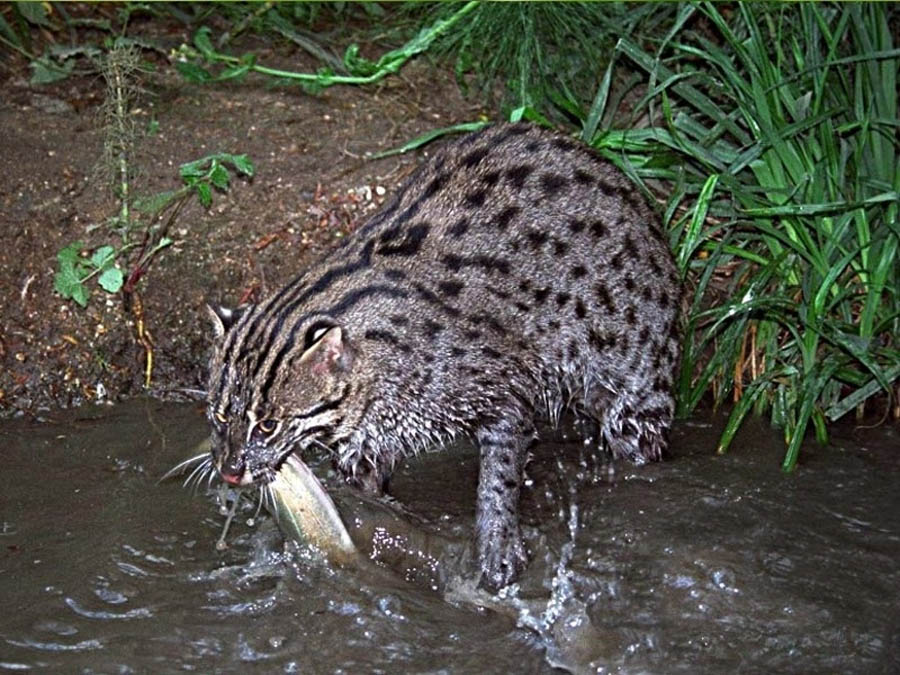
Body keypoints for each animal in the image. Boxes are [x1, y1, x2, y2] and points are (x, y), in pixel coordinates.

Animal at [206, 121, 684, 592]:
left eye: (268, 425)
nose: (229, 471)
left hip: (635, 382)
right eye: (220, 415)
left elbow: (500, 475)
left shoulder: (502, 389)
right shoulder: (372, 435)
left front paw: (496, 545)